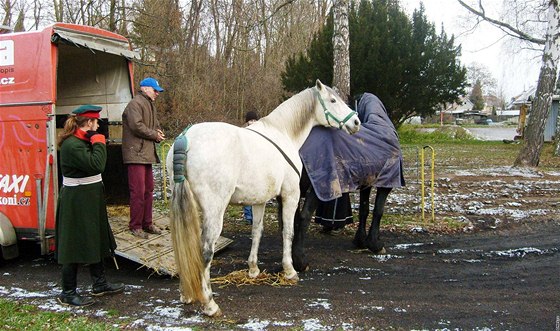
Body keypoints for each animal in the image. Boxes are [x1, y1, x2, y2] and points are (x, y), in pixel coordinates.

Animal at [167, 80, 358, 316]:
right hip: (214, 210)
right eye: (332, 100)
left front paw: (253, 269)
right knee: (205, 251)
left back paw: (186, 294)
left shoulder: (258, 201)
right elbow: (288, 231)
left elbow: (256, 232)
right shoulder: (290, 195)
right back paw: (210, 304)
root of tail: (186, 138)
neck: (283, 133)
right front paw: (290, 270)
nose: (356, 122)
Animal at [290, 92, 404, 272]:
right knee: (303, 217)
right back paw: (300, 261)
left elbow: (364, 209)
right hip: (318, 188)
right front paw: (375, 244)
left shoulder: (366, 183)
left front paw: (361, 241)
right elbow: (378, 210)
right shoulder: (387, 184)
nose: (354, 124)